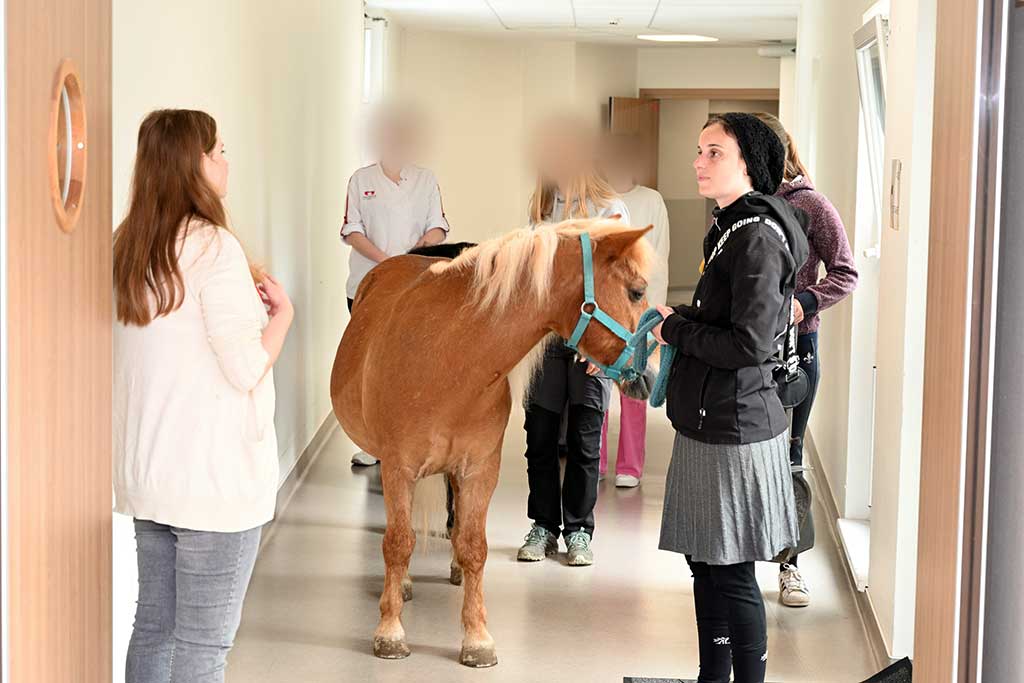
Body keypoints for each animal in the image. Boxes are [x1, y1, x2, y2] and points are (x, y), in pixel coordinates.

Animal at [331, 219, 651, 667]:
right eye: (637, 291)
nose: (649, 376)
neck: (450, 357)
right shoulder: (398, 469)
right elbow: (398, 543)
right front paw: (390, 632)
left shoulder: (481, 469)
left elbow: (473, 546)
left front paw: (477, 638)